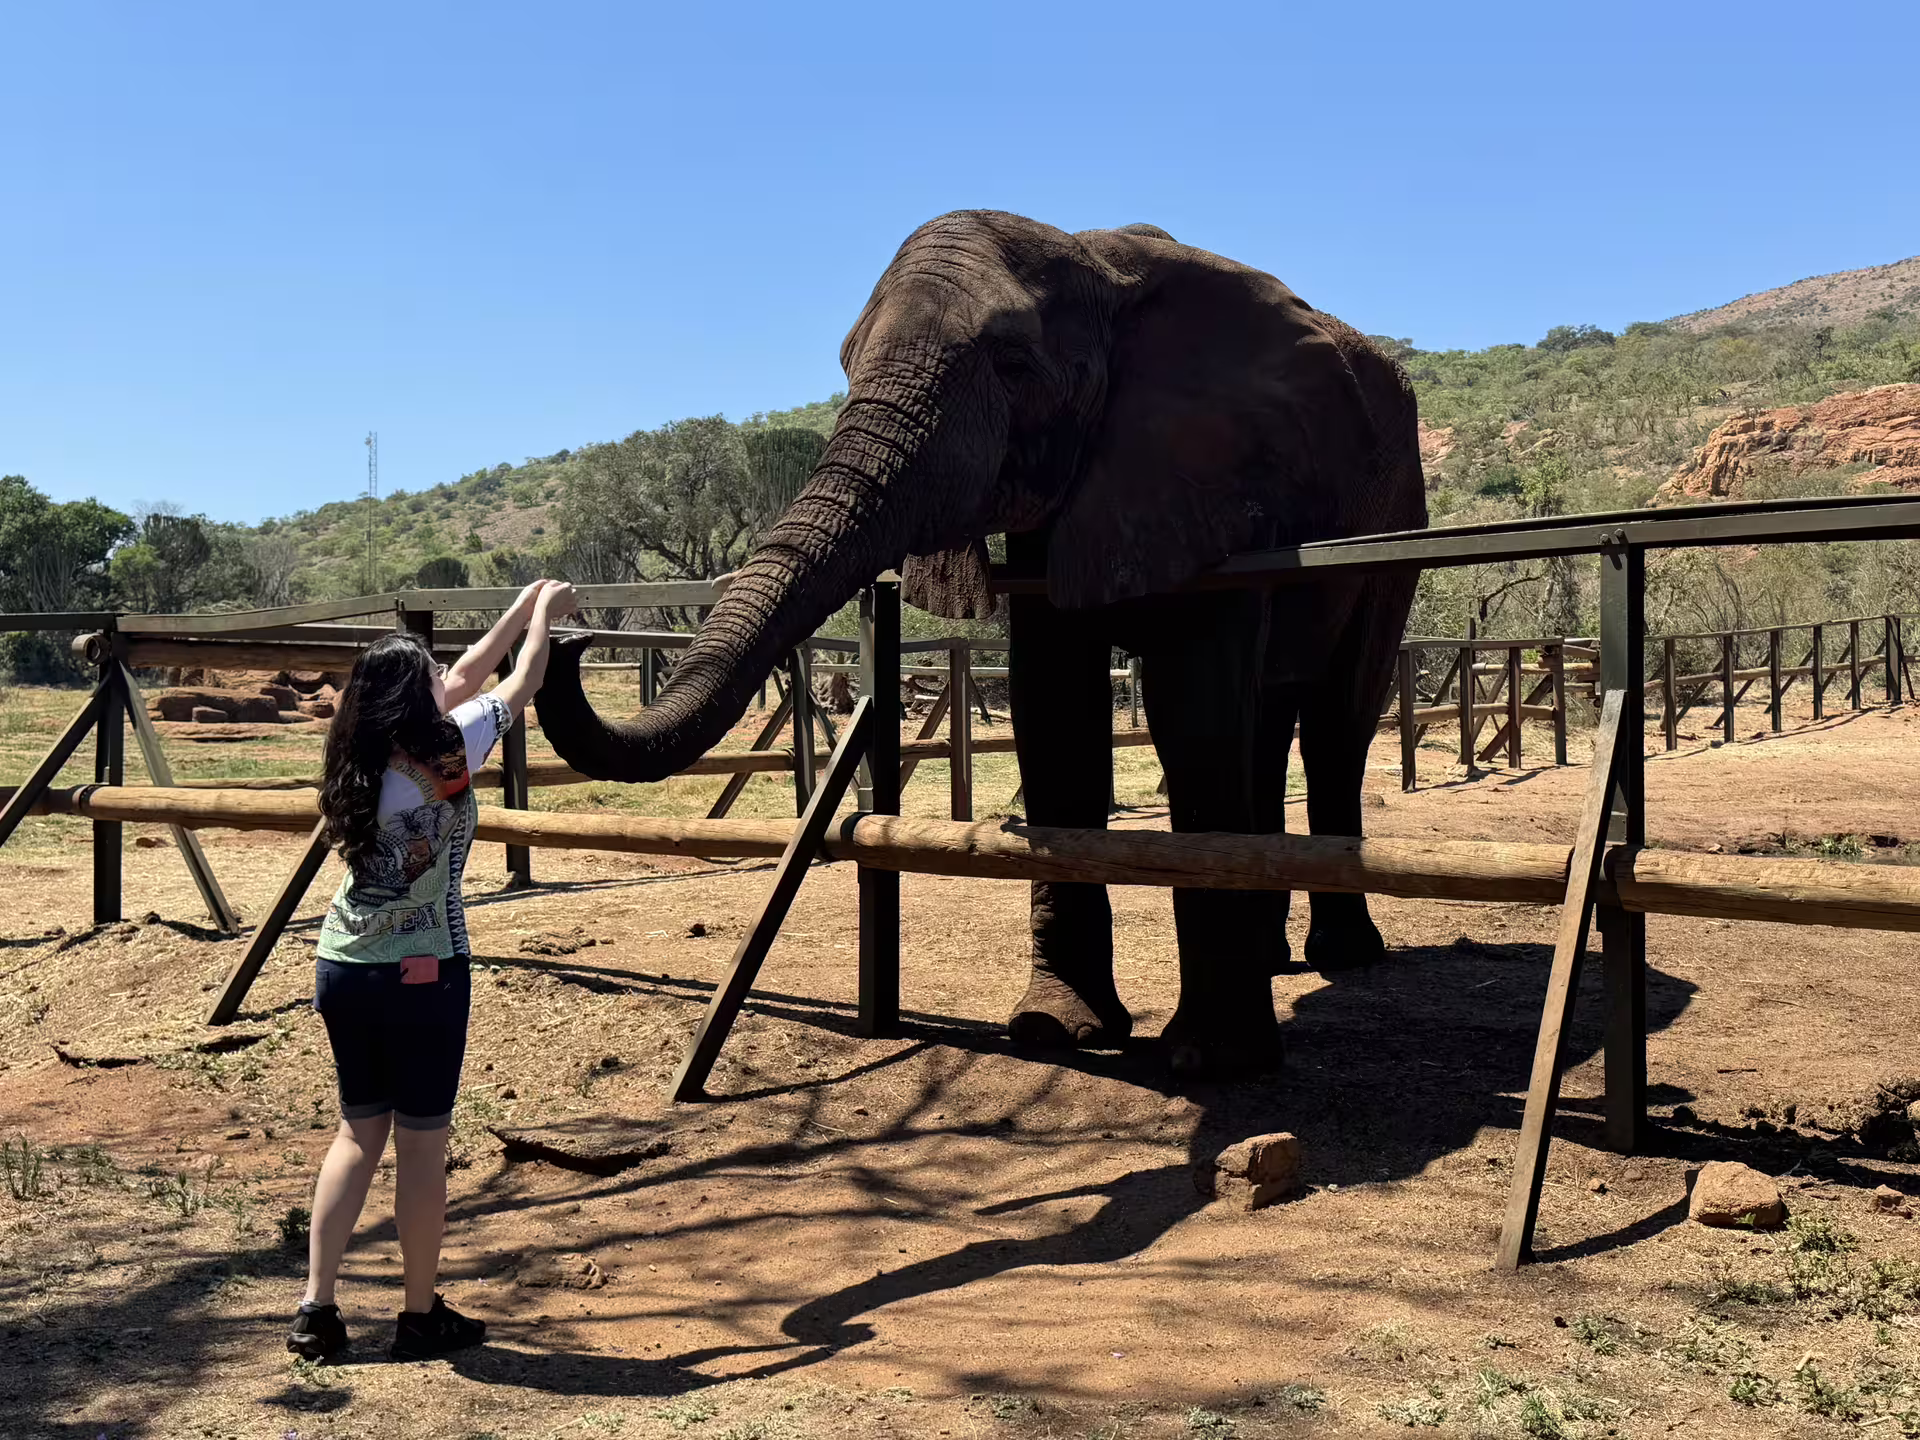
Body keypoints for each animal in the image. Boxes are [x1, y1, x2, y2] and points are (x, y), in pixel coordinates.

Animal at [537, 210, 1427, 1076]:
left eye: (1013, 364)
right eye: (846, 363)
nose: (569, 637)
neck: (1098, 260)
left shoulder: (1220, 476)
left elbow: (1194, 713)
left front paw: (1211, 1060)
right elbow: (1055, 706)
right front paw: (1051, 1030)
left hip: (1398, 520)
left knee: (1336, 718)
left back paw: (1343, 955)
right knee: (1271, 721)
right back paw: (1275, 957)